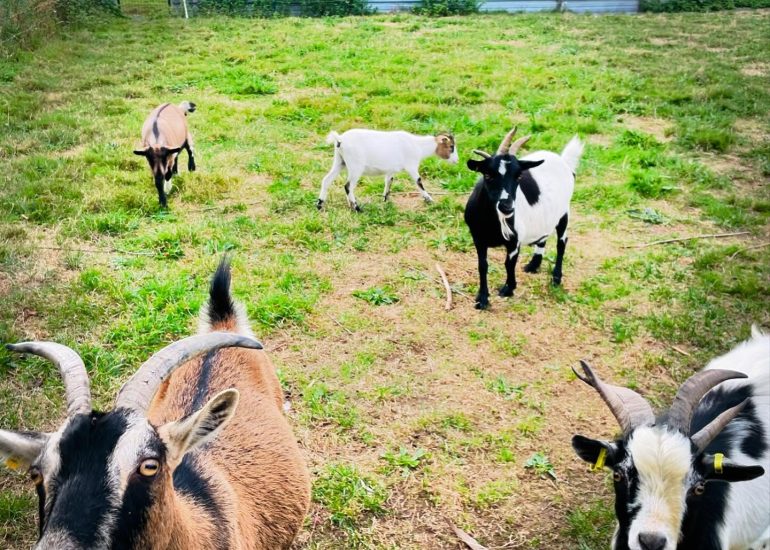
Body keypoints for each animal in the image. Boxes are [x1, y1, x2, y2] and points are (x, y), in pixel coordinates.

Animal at [314, 129, 456, 211]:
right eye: (451, 146)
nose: (456, 161)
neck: (418, 146)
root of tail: (340, 140)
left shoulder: (390, 170)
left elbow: (388, 182)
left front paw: (385, 200)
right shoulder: (411, 166)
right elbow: (419, 181)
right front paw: (430, 200)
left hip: (340, 162)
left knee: (326, 180)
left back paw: (320, 205)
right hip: (356, 167)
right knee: (348, 186)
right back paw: (357, 207)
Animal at [460, 128, 580, 310]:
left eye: (518, 176)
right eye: (487, 175)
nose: (507, 207)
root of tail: (563, 161)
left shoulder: (514, 240)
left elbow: (509, 264)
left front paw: (508, 289)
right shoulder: (478, 238)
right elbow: (482, 266)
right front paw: (482, 299)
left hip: (564, 213)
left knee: (562, 242)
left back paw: (556, 278)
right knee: (543, 236)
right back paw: (534, 265)